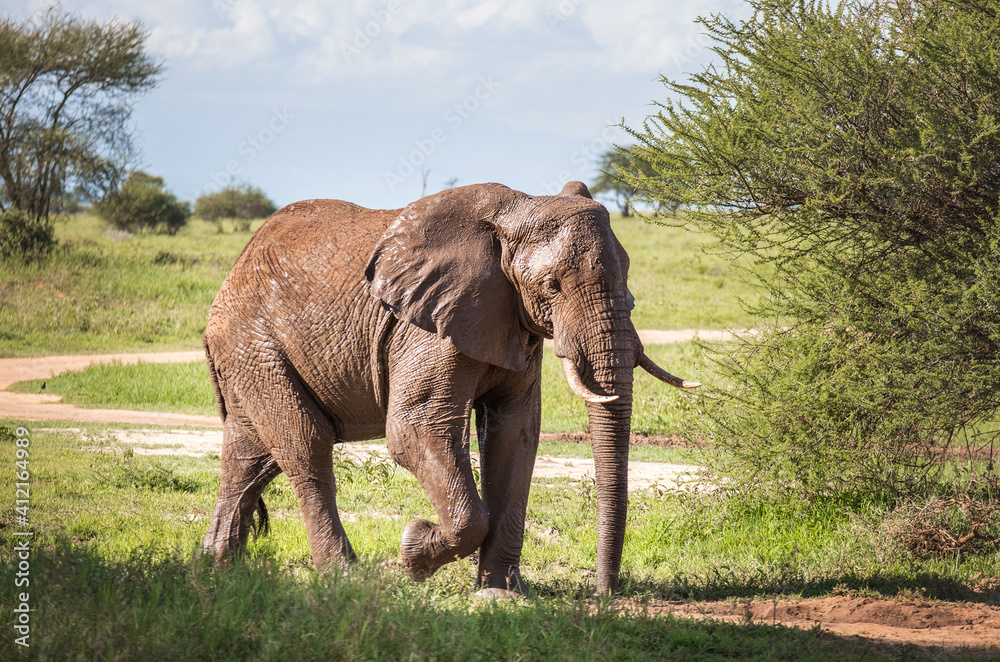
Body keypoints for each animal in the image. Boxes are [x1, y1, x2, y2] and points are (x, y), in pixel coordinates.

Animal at [200, 180, 698, 594]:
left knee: (249, 456)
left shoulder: (511, 319)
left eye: (627, 275)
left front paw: (502, 593)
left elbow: (515, 434)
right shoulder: (427, 326)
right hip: (255, 344)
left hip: (251, 358)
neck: (517, 209)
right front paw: (412, 551)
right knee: (306, 447)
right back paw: (345, 580)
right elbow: (415, 429)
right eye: (552, 285)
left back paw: (216, 574)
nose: (604, 593)